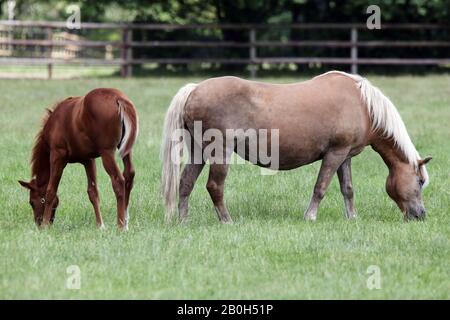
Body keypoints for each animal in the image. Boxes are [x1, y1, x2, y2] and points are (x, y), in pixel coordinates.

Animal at [19, 87, 138, 230]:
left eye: (31, 202)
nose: (38, 223)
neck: (55, 122)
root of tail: (118, 98)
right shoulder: (88, 160)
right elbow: (93, 192)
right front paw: (100, 225)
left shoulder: (57, 156)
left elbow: (51, 190)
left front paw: (45, 225)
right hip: (126, 149)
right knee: (129, 174)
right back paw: (125, 221)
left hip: (107, 153)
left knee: (118, 180)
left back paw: (120, 225)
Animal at [163, 71, 432, 224]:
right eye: (419, 182)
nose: (420, 215)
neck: (363, 105)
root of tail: (195, 89)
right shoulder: (334, 154)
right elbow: (321, 187)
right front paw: (310, 217)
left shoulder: (345, 155)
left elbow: (347, 189)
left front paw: (352, 217)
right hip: (220, 151)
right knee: (215, 186)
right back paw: (227, 221)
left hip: (199, 151)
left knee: (186, 183)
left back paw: (184, 221)